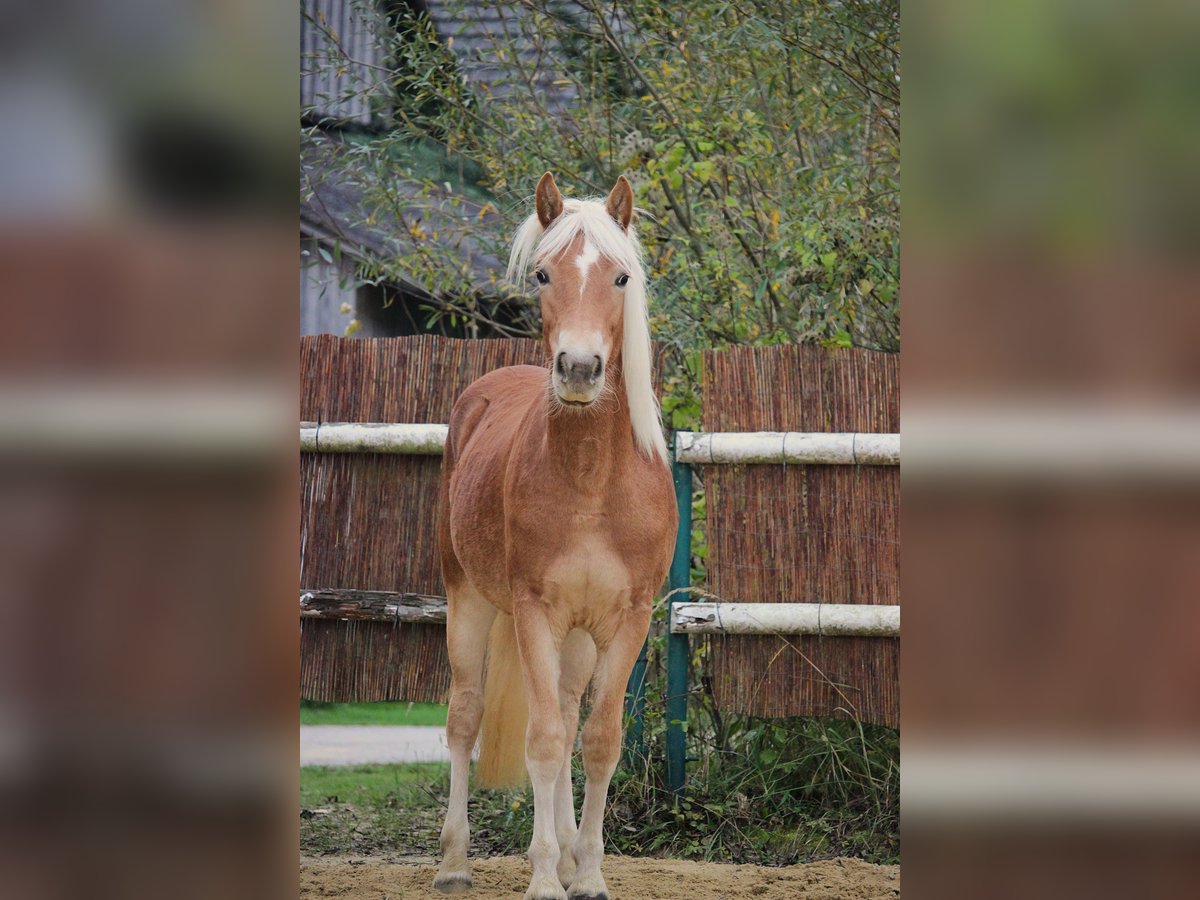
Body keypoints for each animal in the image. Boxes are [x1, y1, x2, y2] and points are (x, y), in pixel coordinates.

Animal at [434, 174, 681, 900]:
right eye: (543, 274)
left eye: (621, 277)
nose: (578, 368)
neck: (592, 481)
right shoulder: (534, 612)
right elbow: (542, 740)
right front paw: (544, 875)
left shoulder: (627, 620)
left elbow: (597, 741)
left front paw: (588, 872)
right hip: (469, 602)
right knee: (465, 716)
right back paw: (455, 861)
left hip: (578, 636)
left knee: (571, 716)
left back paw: (571, 856)